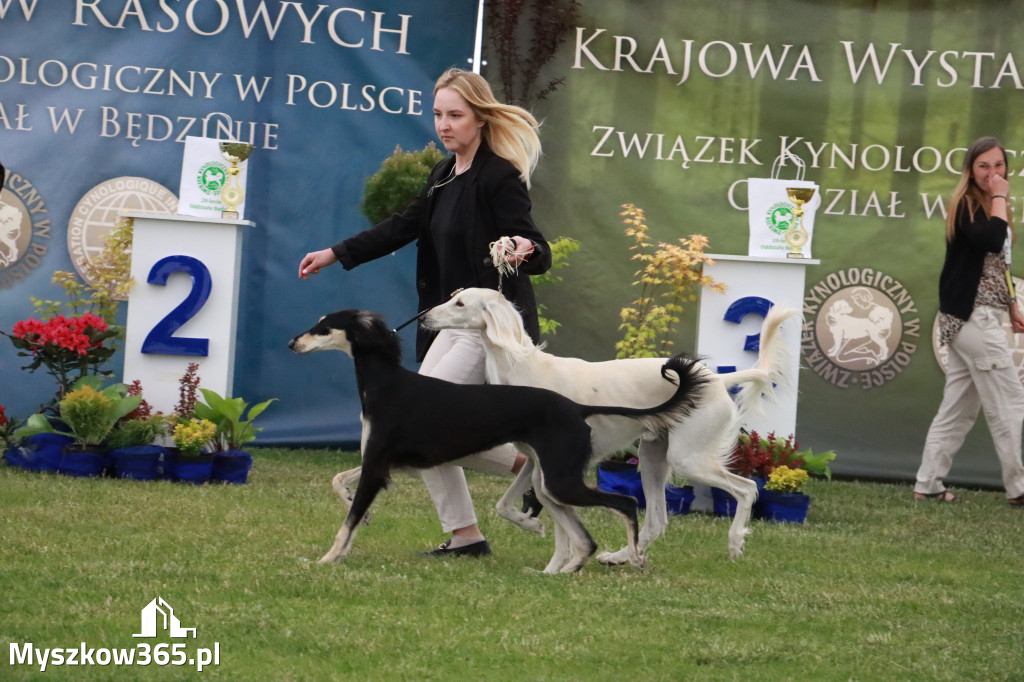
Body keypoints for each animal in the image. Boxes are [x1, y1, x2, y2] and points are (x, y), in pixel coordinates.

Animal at [284, 311, 708, 569]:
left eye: (323, 326)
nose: (292, 344)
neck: (387, 384)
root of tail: (575, 407)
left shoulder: (377, 463)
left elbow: (348, 520)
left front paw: (328, 558)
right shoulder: (387, 461)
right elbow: (339, 482)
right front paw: (357, 516)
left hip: (561, 480)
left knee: (626, 502)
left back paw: (631, 557)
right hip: (549, 480)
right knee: (584, 532)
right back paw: (569, 565)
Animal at [417, 286, 798, 557]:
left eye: (460, 304)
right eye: (453, 297)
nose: (423, 317)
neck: (522, 367)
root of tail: (716, 379)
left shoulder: (553, 467)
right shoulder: (537, 462)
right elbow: (503, 505)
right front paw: (531, 524)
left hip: (687, 459)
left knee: (746, 489)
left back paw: (735, 542)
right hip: (652, 458)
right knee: (656, 521)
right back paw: (620, 558)